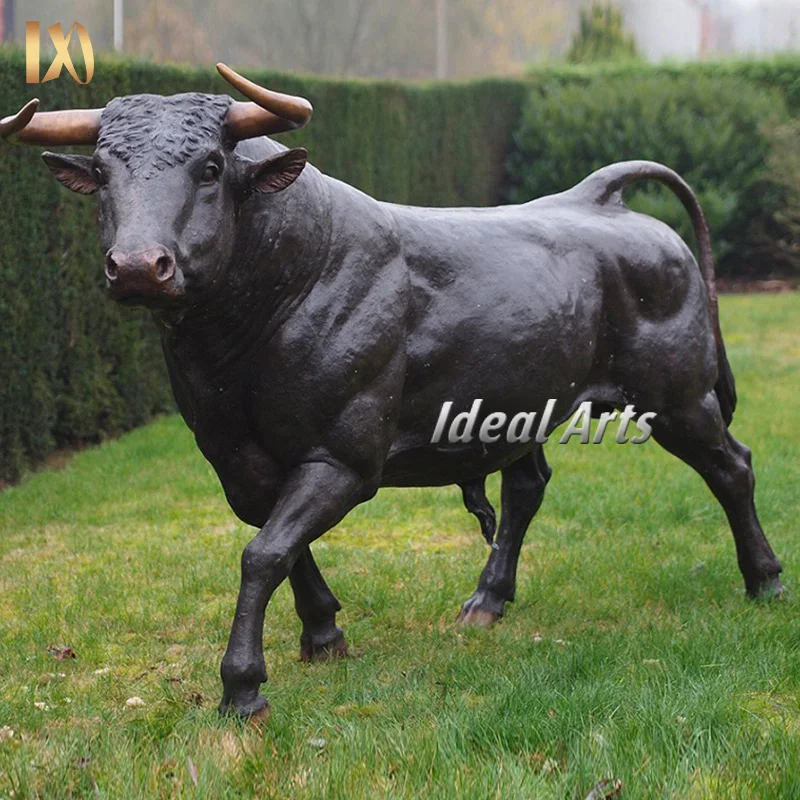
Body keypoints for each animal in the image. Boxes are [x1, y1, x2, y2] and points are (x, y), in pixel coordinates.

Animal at [1, 65, 783, 721]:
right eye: (103, 171)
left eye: (212, 167)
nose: (138, 266)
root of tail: (601, 200)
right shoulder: (235, 458)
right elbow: (279, 543)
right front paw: (323, 633)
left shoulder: (344, 454)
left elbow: (263, 554)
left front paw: (243, 686)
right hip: (522, 407)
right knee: (527, 488)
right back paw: (487, 601)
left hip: (679, 398)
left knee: (732, 467)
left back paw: (766, 581)